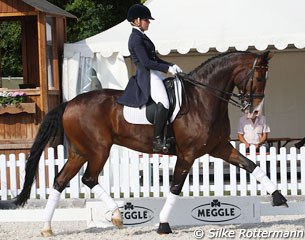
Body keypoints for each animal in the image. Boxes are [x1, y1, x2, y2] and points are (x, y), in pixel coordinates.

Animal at [13, 50, 286, 236]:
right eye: (259, 77)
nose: (254, 113)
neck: (203, 98)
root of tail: (70, 103)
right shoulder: (187, 154)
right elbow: (175, 187)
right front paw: (163, 224)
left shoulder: (220, 148)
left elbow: (252, 166)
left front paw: (279, 197)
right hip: (99, 149)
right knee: (88, 178)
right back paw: (117, 216)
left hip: (81, 151)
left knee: (60, 181)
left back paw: (47, 227)